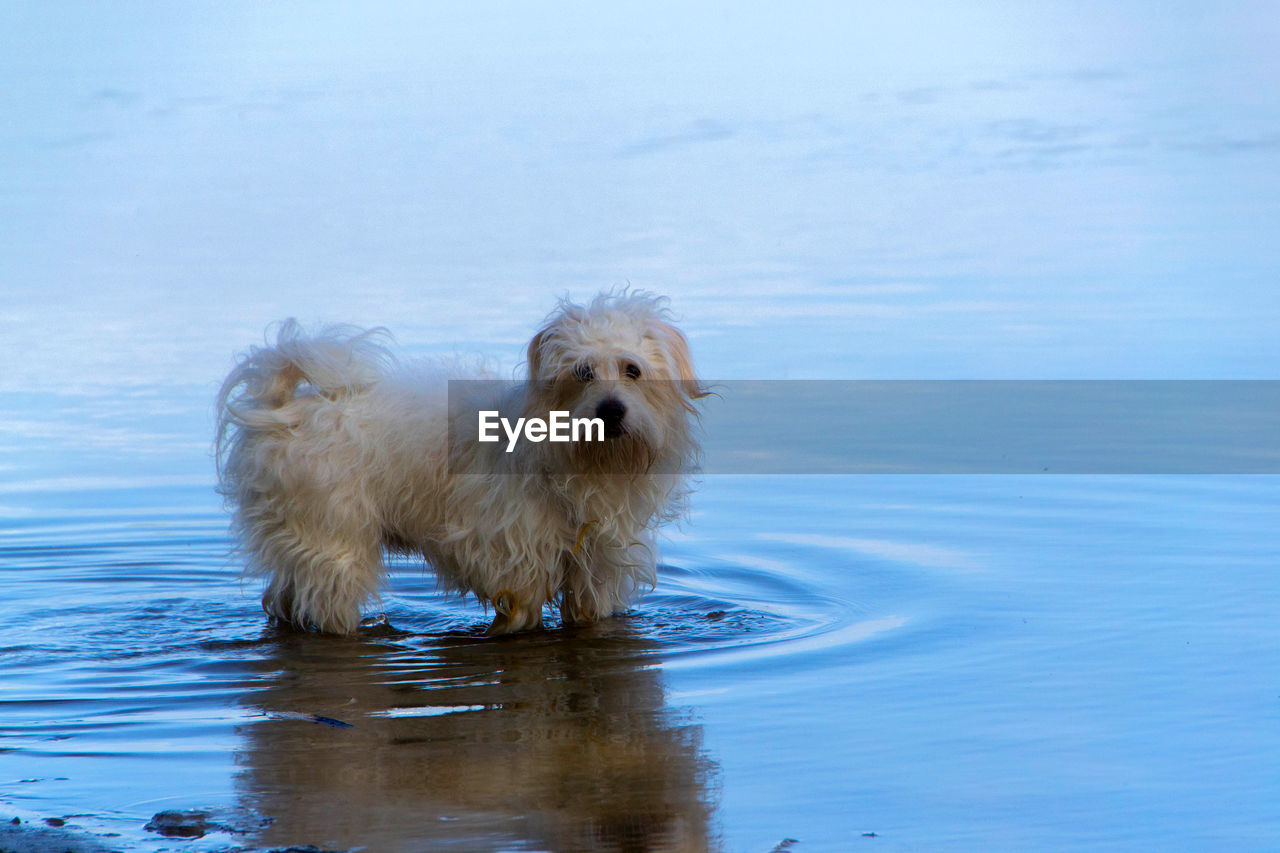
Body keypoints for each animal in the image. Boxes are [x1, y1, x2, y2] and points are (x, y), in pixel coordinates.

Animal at [215, 292, 706, 630]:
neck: (577, 460)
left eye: (633, 370)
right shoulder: (516, 566)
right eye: (583, 373)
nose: (610, 410)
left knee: (280, 601)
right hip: (332, 544)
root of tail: (286, 411)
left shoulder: (596, 570)